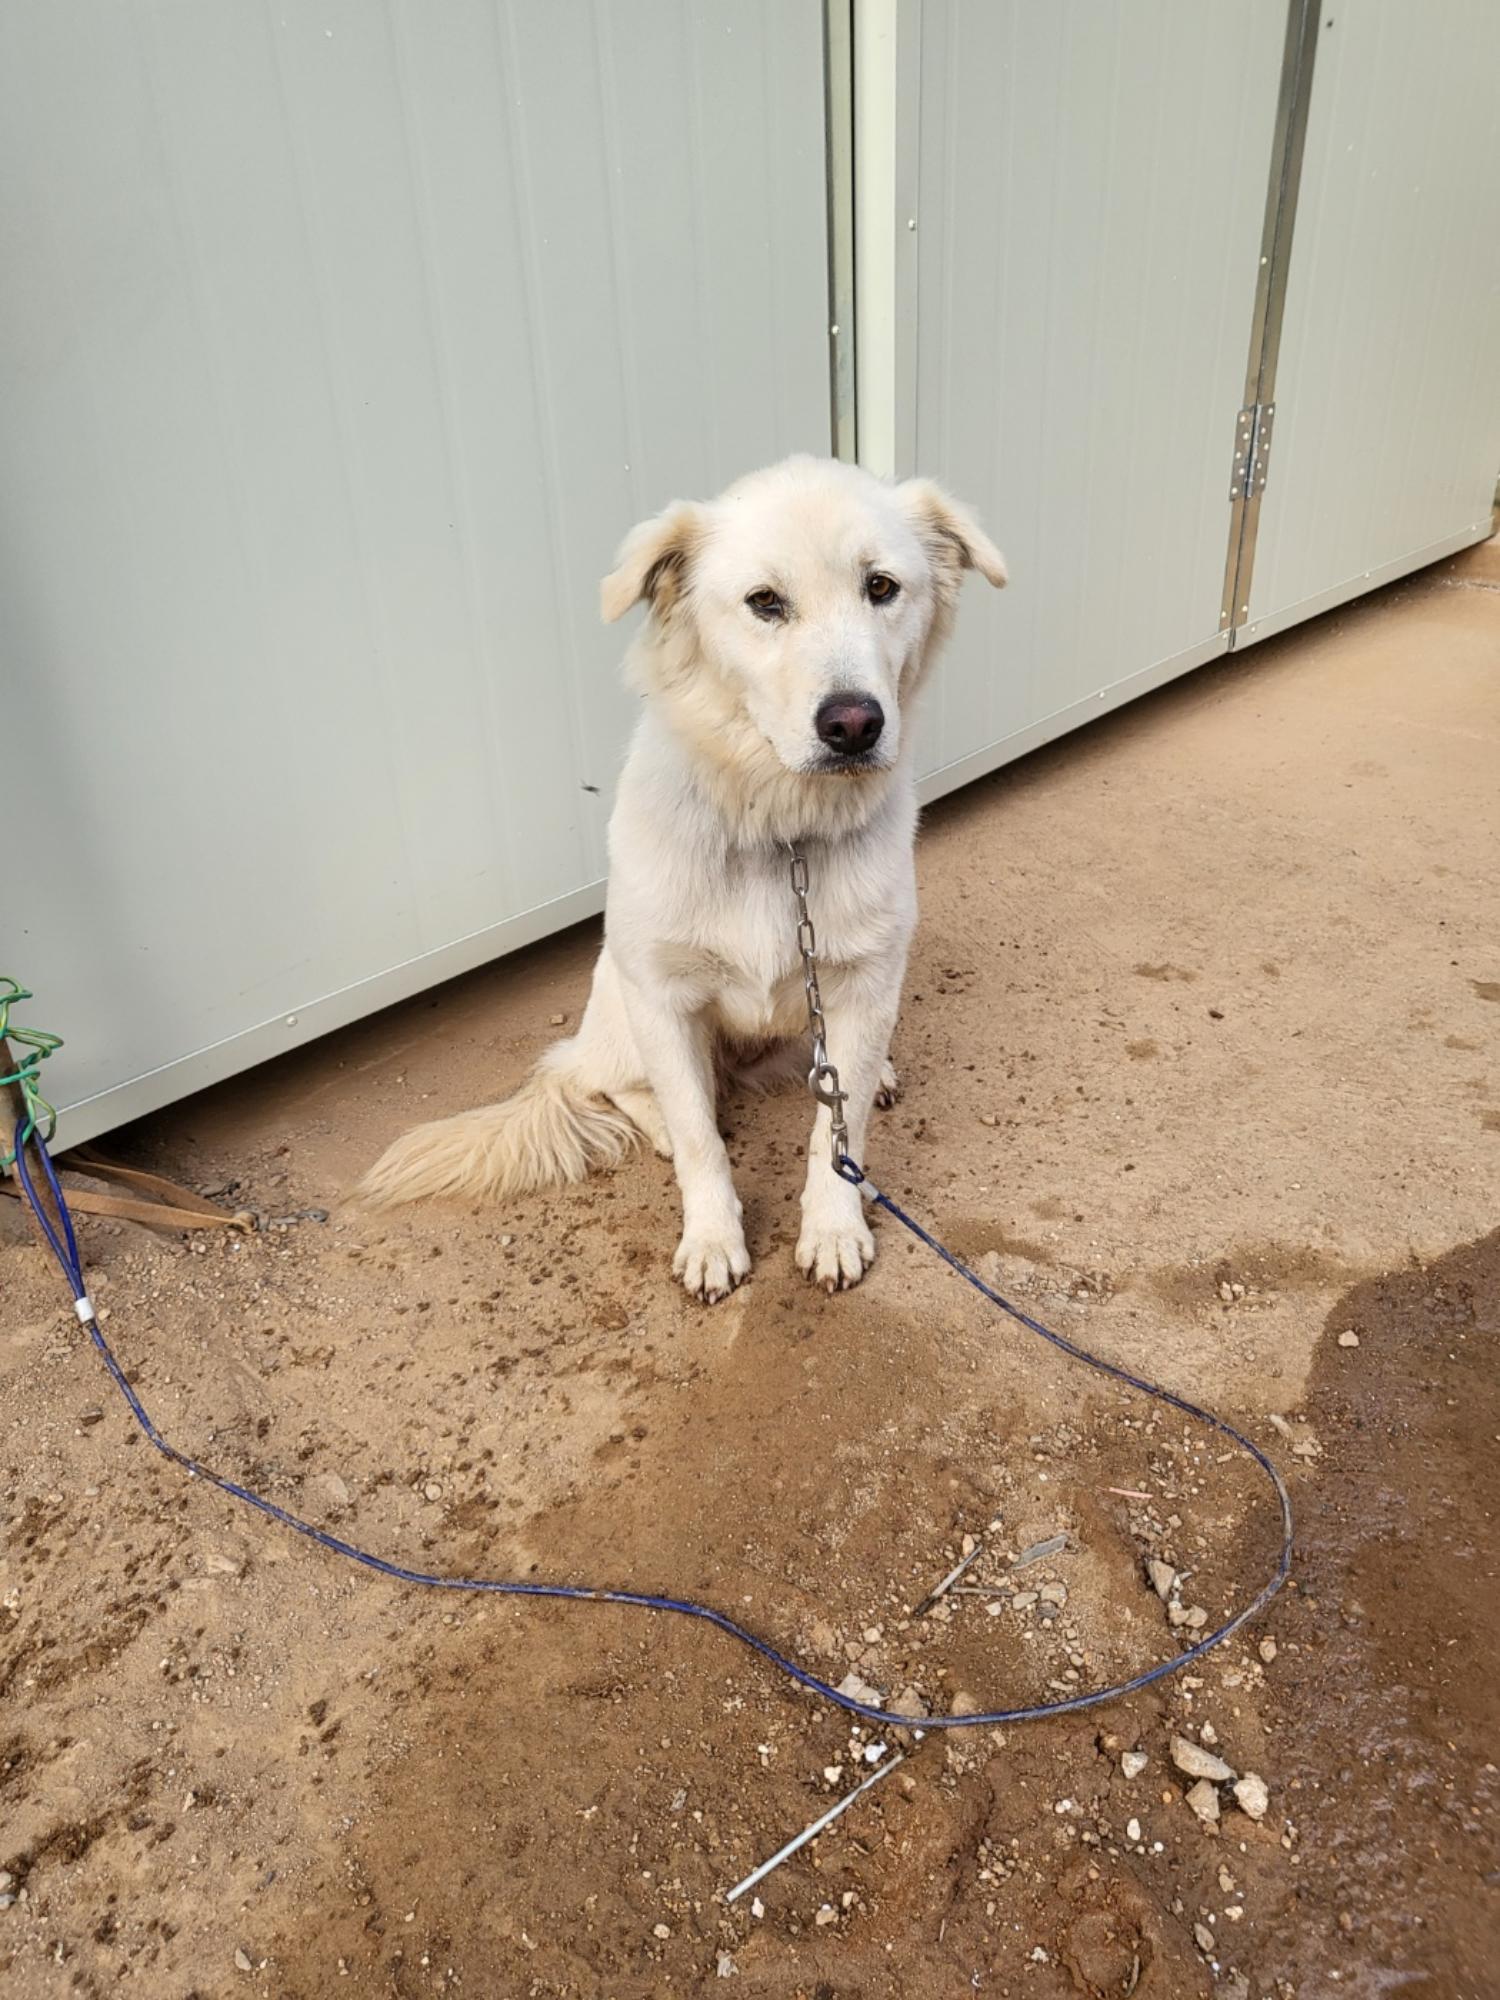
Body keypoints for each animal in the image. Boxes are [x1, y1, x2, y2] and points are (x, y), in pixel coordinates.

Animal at [358, 456, 1004, 1304]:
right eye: (765, 602)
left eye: (882, 587)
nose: (855, 725)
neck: (778, 833)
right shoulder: (662, 998)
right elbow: (703, 1142)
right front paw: (713, 1239)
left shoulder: (864, 986)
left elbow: (840, 1128)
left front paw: (834, 1226)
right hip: (621, 1008)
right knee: (615, 1084)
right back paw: (658, 1120)